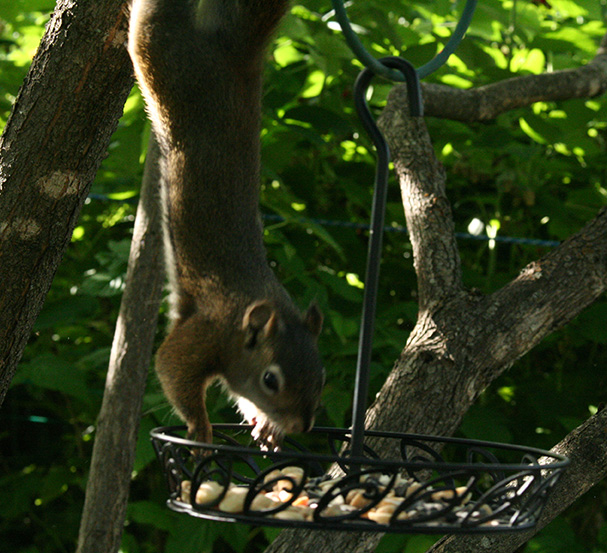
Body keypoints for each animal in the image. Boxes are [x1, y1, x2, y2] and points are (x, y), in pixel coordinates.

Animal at [129, 0, 326, 446]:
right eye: (271, 380)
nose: (302, 426)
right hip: (165, 55)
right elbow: (171, 367)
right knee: (150, 21)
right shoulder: (205, 333)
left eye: (321, 378)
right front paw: (201, 429)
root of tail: (234, 54)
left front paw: (265, 425)